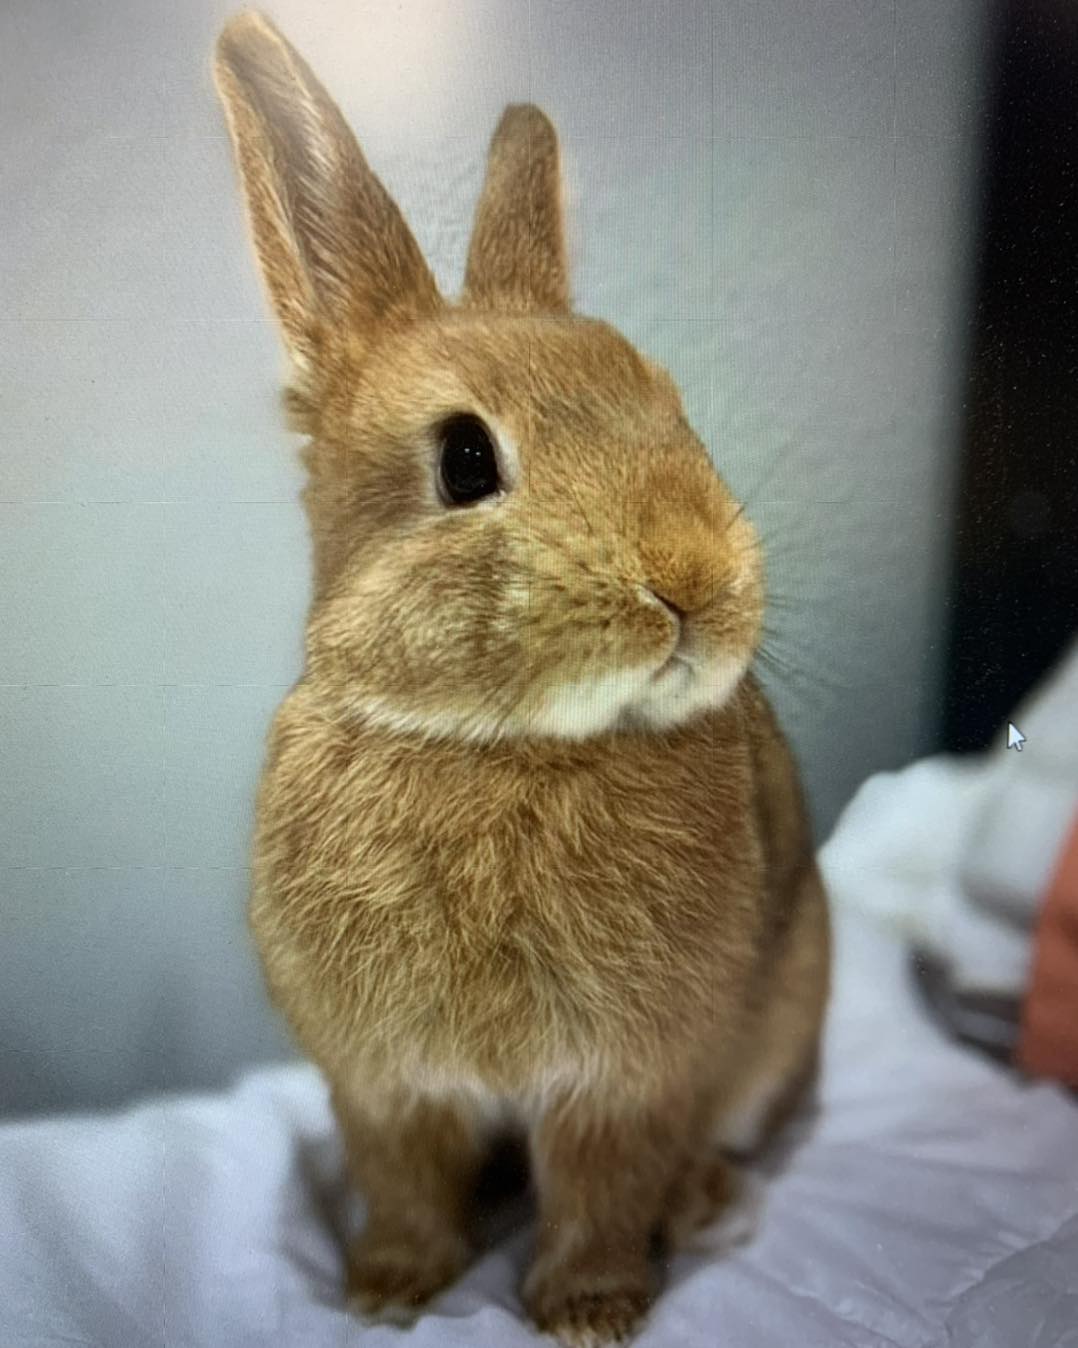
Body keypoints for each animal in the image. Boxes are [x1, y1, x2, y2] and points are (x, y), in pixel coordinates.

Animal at [214, 12, 830, 1346]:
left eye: (673, 407)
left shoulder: (628, 1075)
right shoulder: (384, 1084)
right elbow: (403, 1182)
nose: (693, 576)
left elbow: (604, 1186)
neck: (499, 746)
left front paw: (588, 1310)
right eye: (462, 459)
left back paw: (701, 1203)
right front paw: (386, 1289)